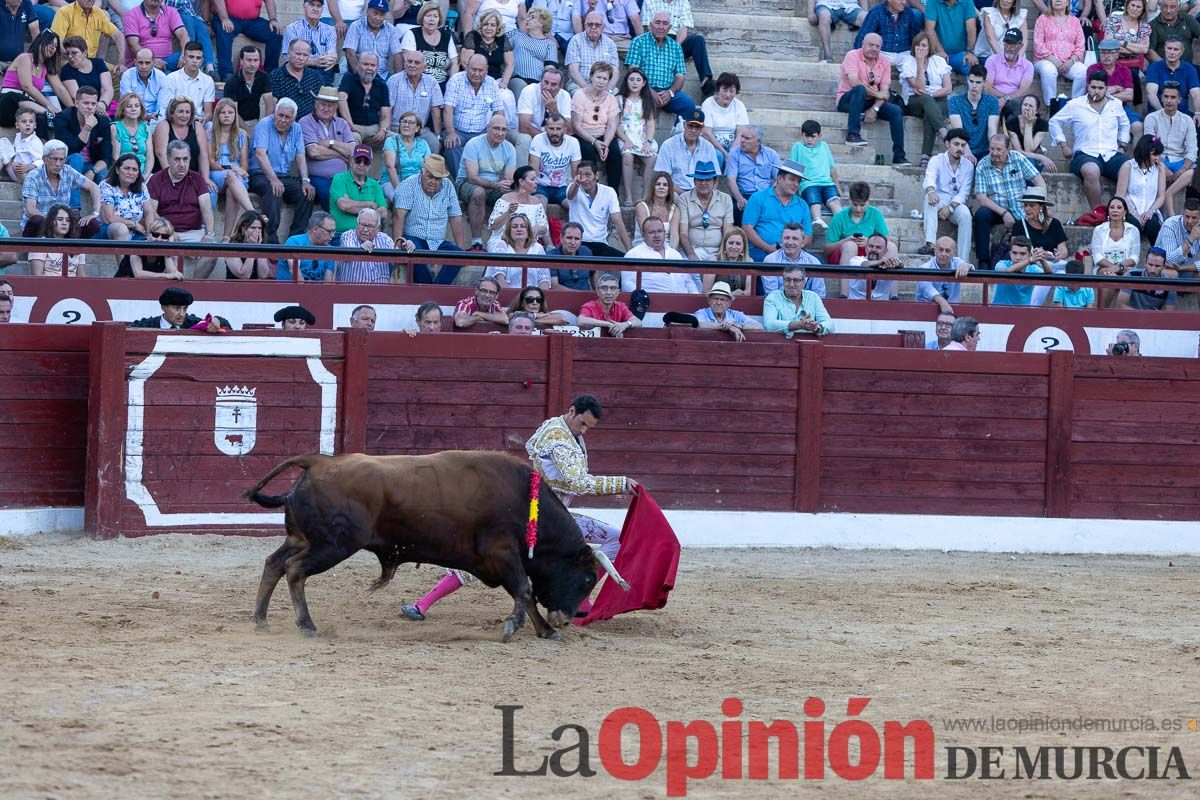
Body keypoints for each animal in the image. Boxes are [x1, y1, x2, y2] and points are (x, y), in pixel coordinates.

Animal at [246, 453, 600, 642]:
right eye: (586, 580)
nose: (568, 618)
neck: (527, 502)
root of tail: (318, 462)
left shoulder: (501, 561)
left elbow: (525, 595)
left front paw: (545, 631)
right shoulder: (503, 554)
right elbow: (525, 591)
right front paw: (515, 626)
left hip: (302, 539)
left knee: (274, 564)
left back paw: (260, 619)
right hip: (333, 545)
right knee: (294, 570)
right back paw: (306, 625)